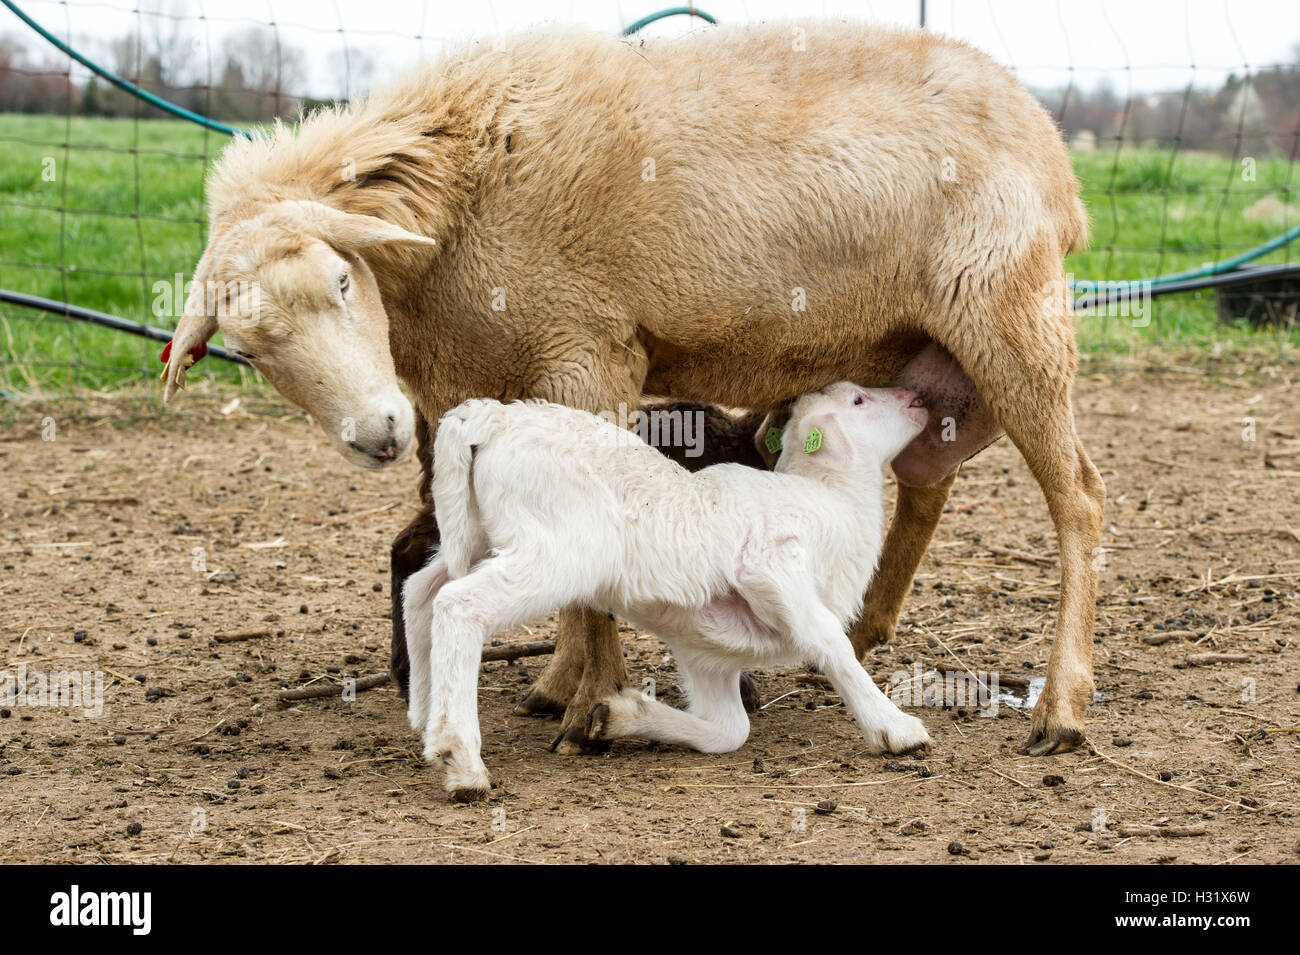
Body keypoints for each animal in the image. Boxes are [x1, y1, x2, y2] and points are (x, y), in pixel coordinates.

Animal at [159, 18, 1097, 758]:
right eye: (248, 351)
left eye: (341, 279)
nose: (378, 433)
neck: (462, 189)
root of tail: (1053, 146)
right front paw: (566, 682)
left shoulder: (590, 352)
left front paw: (589, 701)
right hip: (924, 356)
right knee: (926, 487)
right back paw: (862, 632)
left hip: (1015, 321)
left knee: (1078, 499)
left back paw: (1060, 705)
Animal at [405, 382, 935, 800]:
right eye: (859, 399)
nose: (916, 397)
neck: (832, 499)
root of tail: (495, 417)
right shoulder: (770, 564)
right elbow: (828, 641)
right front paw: (895, 728)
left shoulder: (707, 653)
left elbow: (729, 730)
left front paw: (620, 716)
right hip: (556, 550)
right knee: (459, 604)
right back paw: (461, 759)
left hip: (480, 532)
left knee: (421, 590)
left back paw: (424, 716)